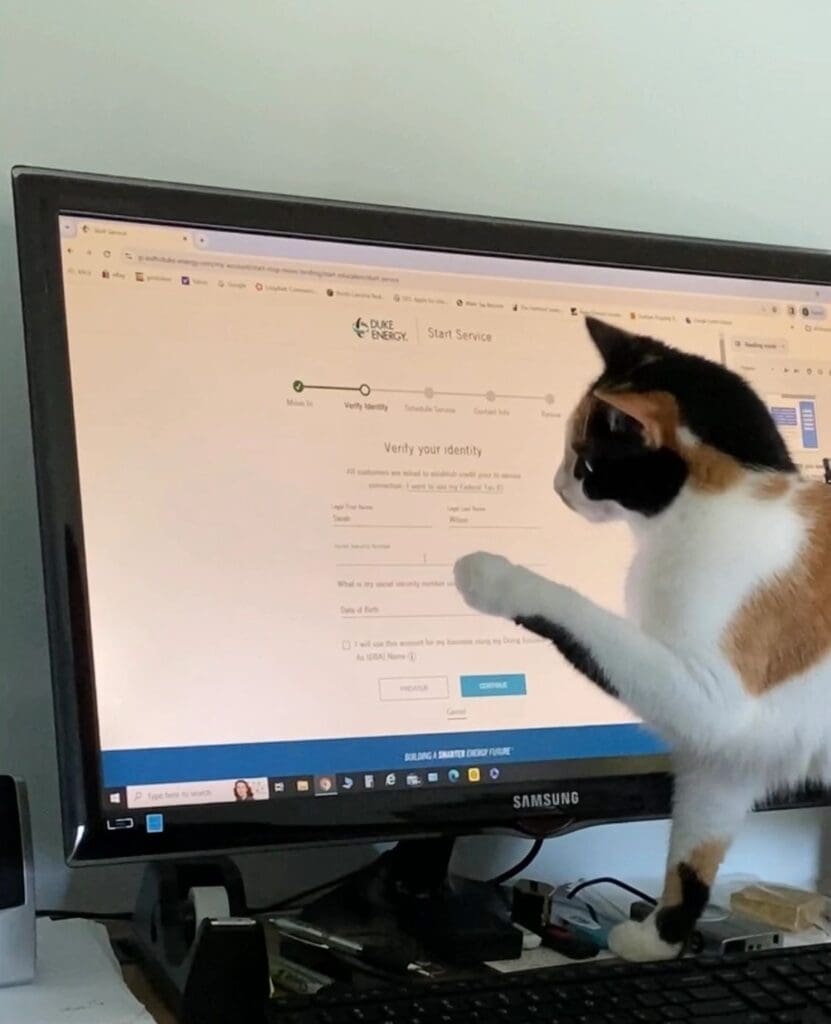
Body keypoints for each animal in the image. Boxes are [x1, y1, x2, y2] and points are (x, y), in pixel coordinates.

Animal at [454, 317, 831, 958]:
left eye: (585, 463)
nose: (556, 486)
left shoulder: (712, 699)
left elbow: (584, 619)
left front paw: (493, 575)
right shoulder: (725, 759)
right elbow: (692, 854)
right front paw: (657, 938)